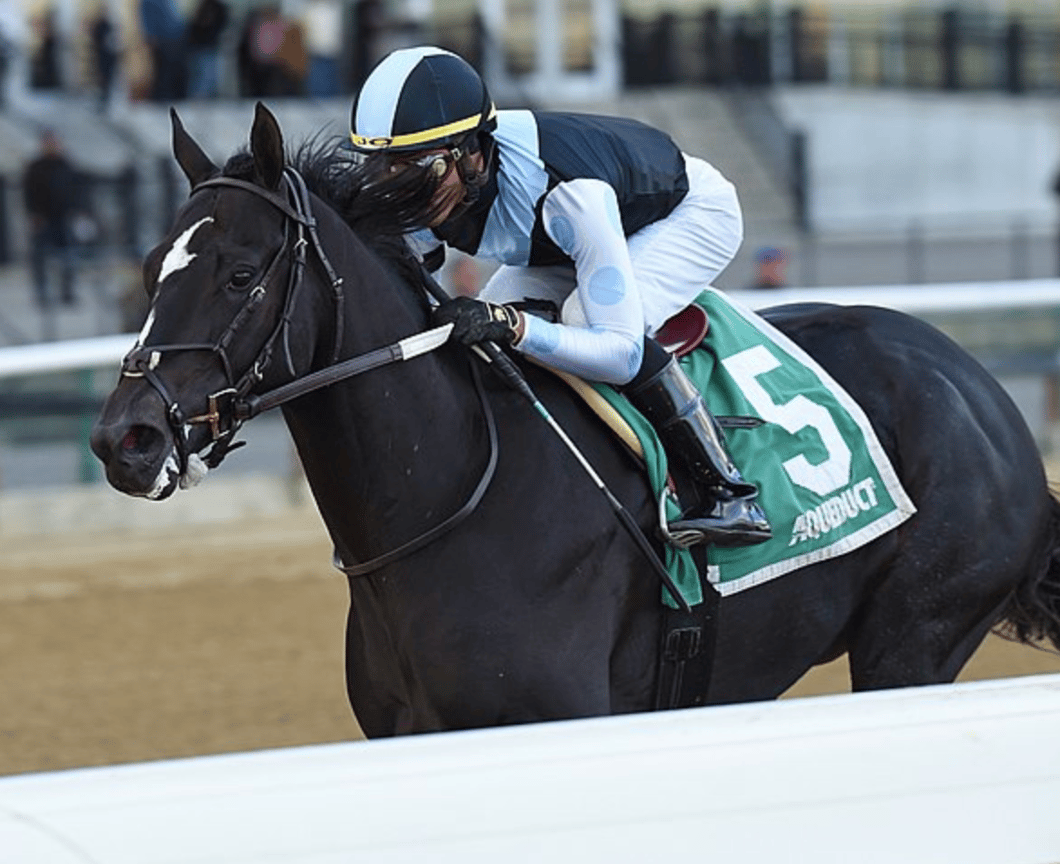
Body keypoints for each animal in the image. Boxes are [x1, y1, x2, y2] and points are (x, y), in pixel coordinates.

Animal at [89, 101, 1060, 737]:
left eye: (241, 273)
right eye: (150, 265)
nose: (124, 439)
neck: (449, 505)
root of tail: (977, 388)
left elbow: (627, 342)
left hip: (916, 638)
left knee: (635, 339)